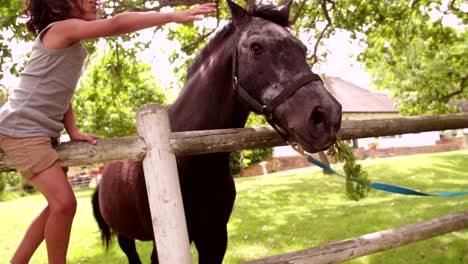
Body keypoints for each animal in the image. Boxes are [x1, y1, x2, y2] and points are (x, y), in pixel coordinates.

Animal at [91, 1, 342, 262]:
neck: (187, 159)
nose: (326, 116)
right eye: (256, 47)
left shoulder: (214, 237)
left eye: (302, 48)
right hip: (125, 236)